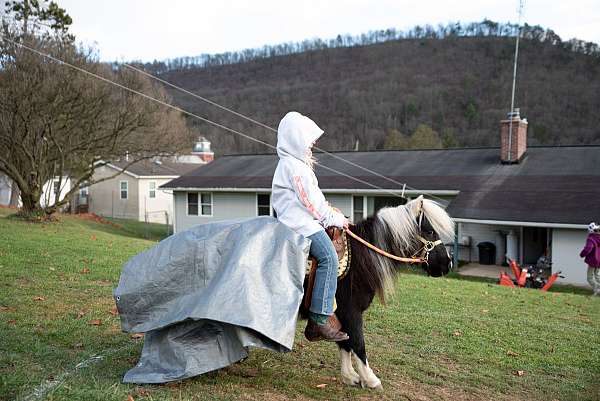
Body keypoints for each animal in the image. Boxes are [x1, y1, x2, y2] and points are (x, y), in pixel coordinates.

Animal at [300, 195, 454, 390]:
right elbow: (357, 342)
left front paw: (350, 376)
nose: (448, 263)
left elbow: (345, 342)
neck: (359, 260)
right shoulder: (350, 311)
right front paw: (370, 379)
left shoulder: (342, 314)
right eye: (430, 232)